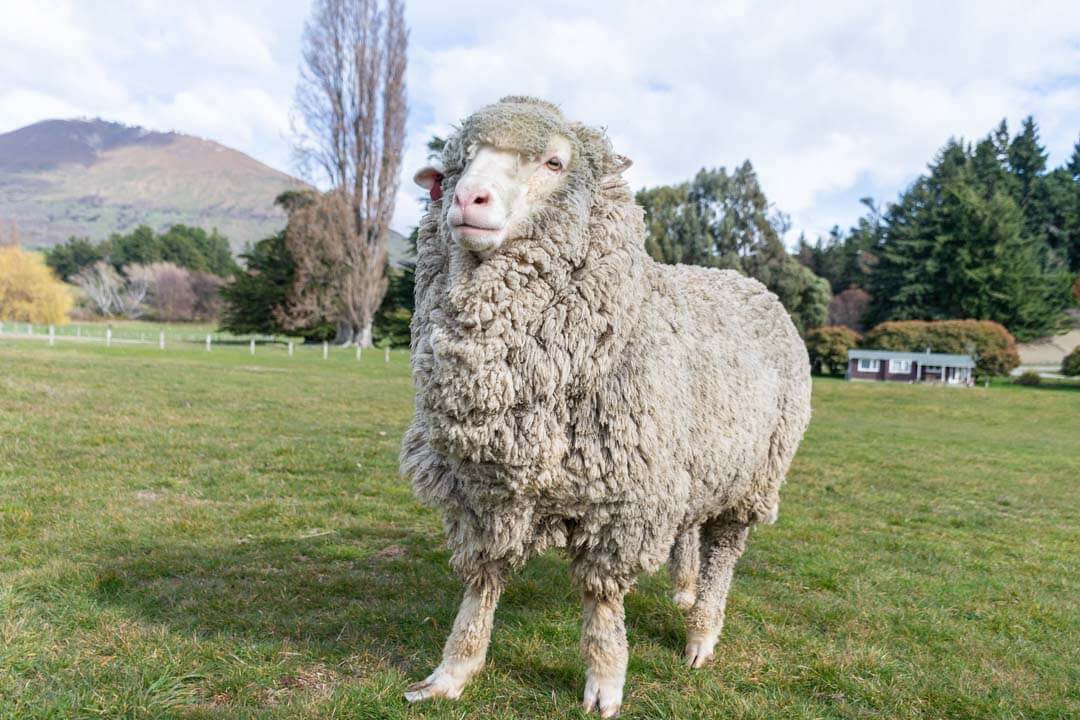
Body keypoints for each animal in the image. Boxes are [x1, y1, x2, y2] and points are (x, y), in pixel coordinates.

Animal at [400, 96, 812, 717]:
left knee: (723, 549)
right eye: (453, 167)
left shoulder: (626, 499)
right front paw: (453, 671)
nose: (469, 199)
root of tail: (748, 281)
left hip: (754, 475)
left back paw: (702, 631)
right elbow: (480, 585)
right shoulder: (482, 495)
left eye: (554, 162)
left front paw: (605, 681)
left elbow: (602, 602)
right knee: (689, 530)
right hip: (696, 460)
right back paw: (684, 590)